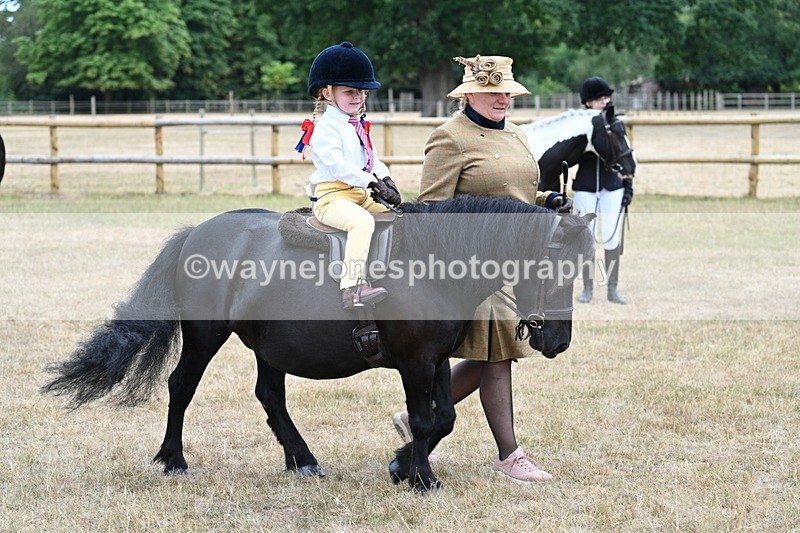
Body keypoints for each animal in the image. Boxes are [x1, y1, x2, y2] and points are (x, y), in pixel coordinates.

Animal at [42, 195, 595, 492]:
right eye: (554, 266)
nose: (558, 340)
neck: (431, 259)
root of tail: (197, 232)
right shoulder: (415, 363)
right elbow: (423, 419)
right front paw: (421, 479)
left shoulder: (436, 360)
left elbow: (444, 418)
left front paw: (404, 466)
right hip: (205, 336)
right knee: (181, 386)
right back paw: (174, 460)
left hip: (269, 347)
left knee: (270, 396)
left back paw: (302, 458)